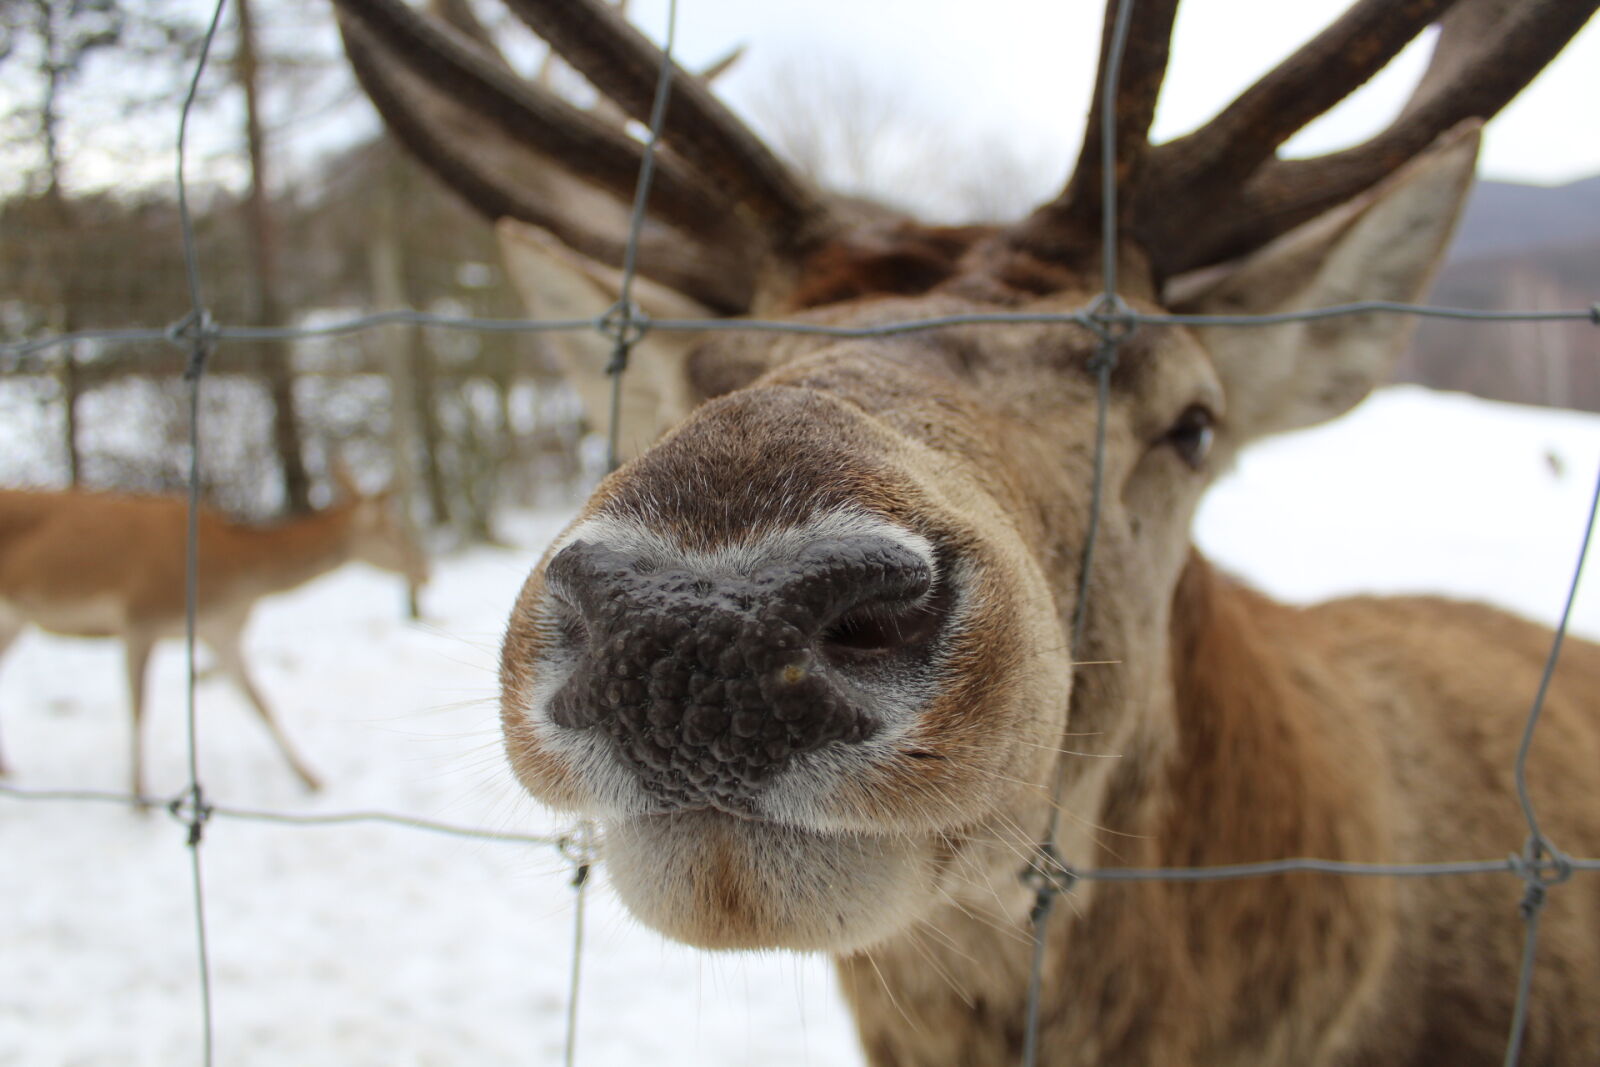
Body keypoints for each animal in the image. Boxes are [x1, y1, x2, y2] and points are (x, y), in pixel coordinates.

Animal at [0, 473, 429, 799]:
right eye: (392, 531)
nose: (424, 570)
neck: (231, 576)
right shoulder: (140, 618)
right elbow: (139, 708)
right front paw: (138, 796)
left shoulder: (220, 632)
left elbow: (259, 702)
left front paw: (310, 778)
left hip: (14, 622)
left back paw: (8, 770)